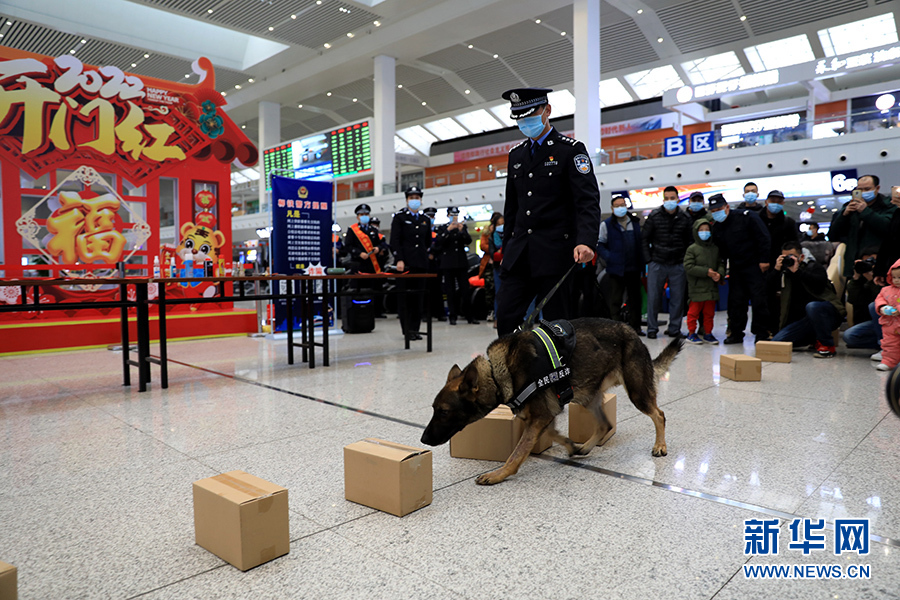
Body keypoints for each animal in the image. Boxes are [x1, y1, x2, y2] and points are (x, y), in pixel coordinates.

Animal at [422, 318, 684, 482]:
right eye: (434, 409)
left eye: (443, 412)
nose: (423, 440)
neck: (498, 373)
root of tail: (633, 333)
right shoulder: (544, 416)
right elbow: (551, 433)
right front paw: (570, 445)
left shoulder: (540, 416)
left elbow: (516, 453)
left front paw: (499, 474)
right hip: (586, 397)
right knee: (604, 425)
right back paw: (585, 447)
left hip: (637, 393)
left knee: (659, 414)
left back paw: (660, 445)